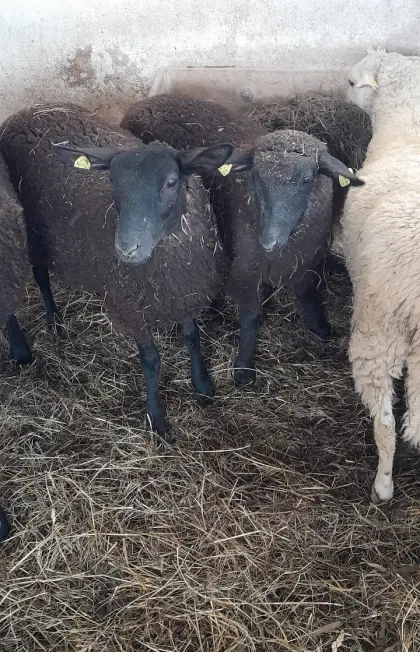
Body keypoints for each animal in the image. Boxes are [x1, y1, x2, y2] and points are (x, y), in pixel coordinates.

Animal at [0, 104, 236, 437]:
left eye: (171, 182)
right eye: (112, 182)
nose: (126, 248)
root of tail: (28, 111)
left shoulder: (184, 293)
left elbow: (192, 336)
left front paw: (203, 385)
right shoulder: (131, 308)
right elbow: (150, 360)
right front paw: (156, 418)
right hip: (30, 233)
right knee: (38, 277)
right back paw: (49, 325)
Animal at [121, 94, 363, 385]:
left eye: (307, 179)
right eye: (255, 176)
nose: (269, 240)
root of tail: (145, 102)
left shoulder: (302, 259)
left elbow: (306, 291)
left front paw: (320, 327)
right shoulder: (244, 272)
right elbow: (251, 316)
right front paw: (244, 367)